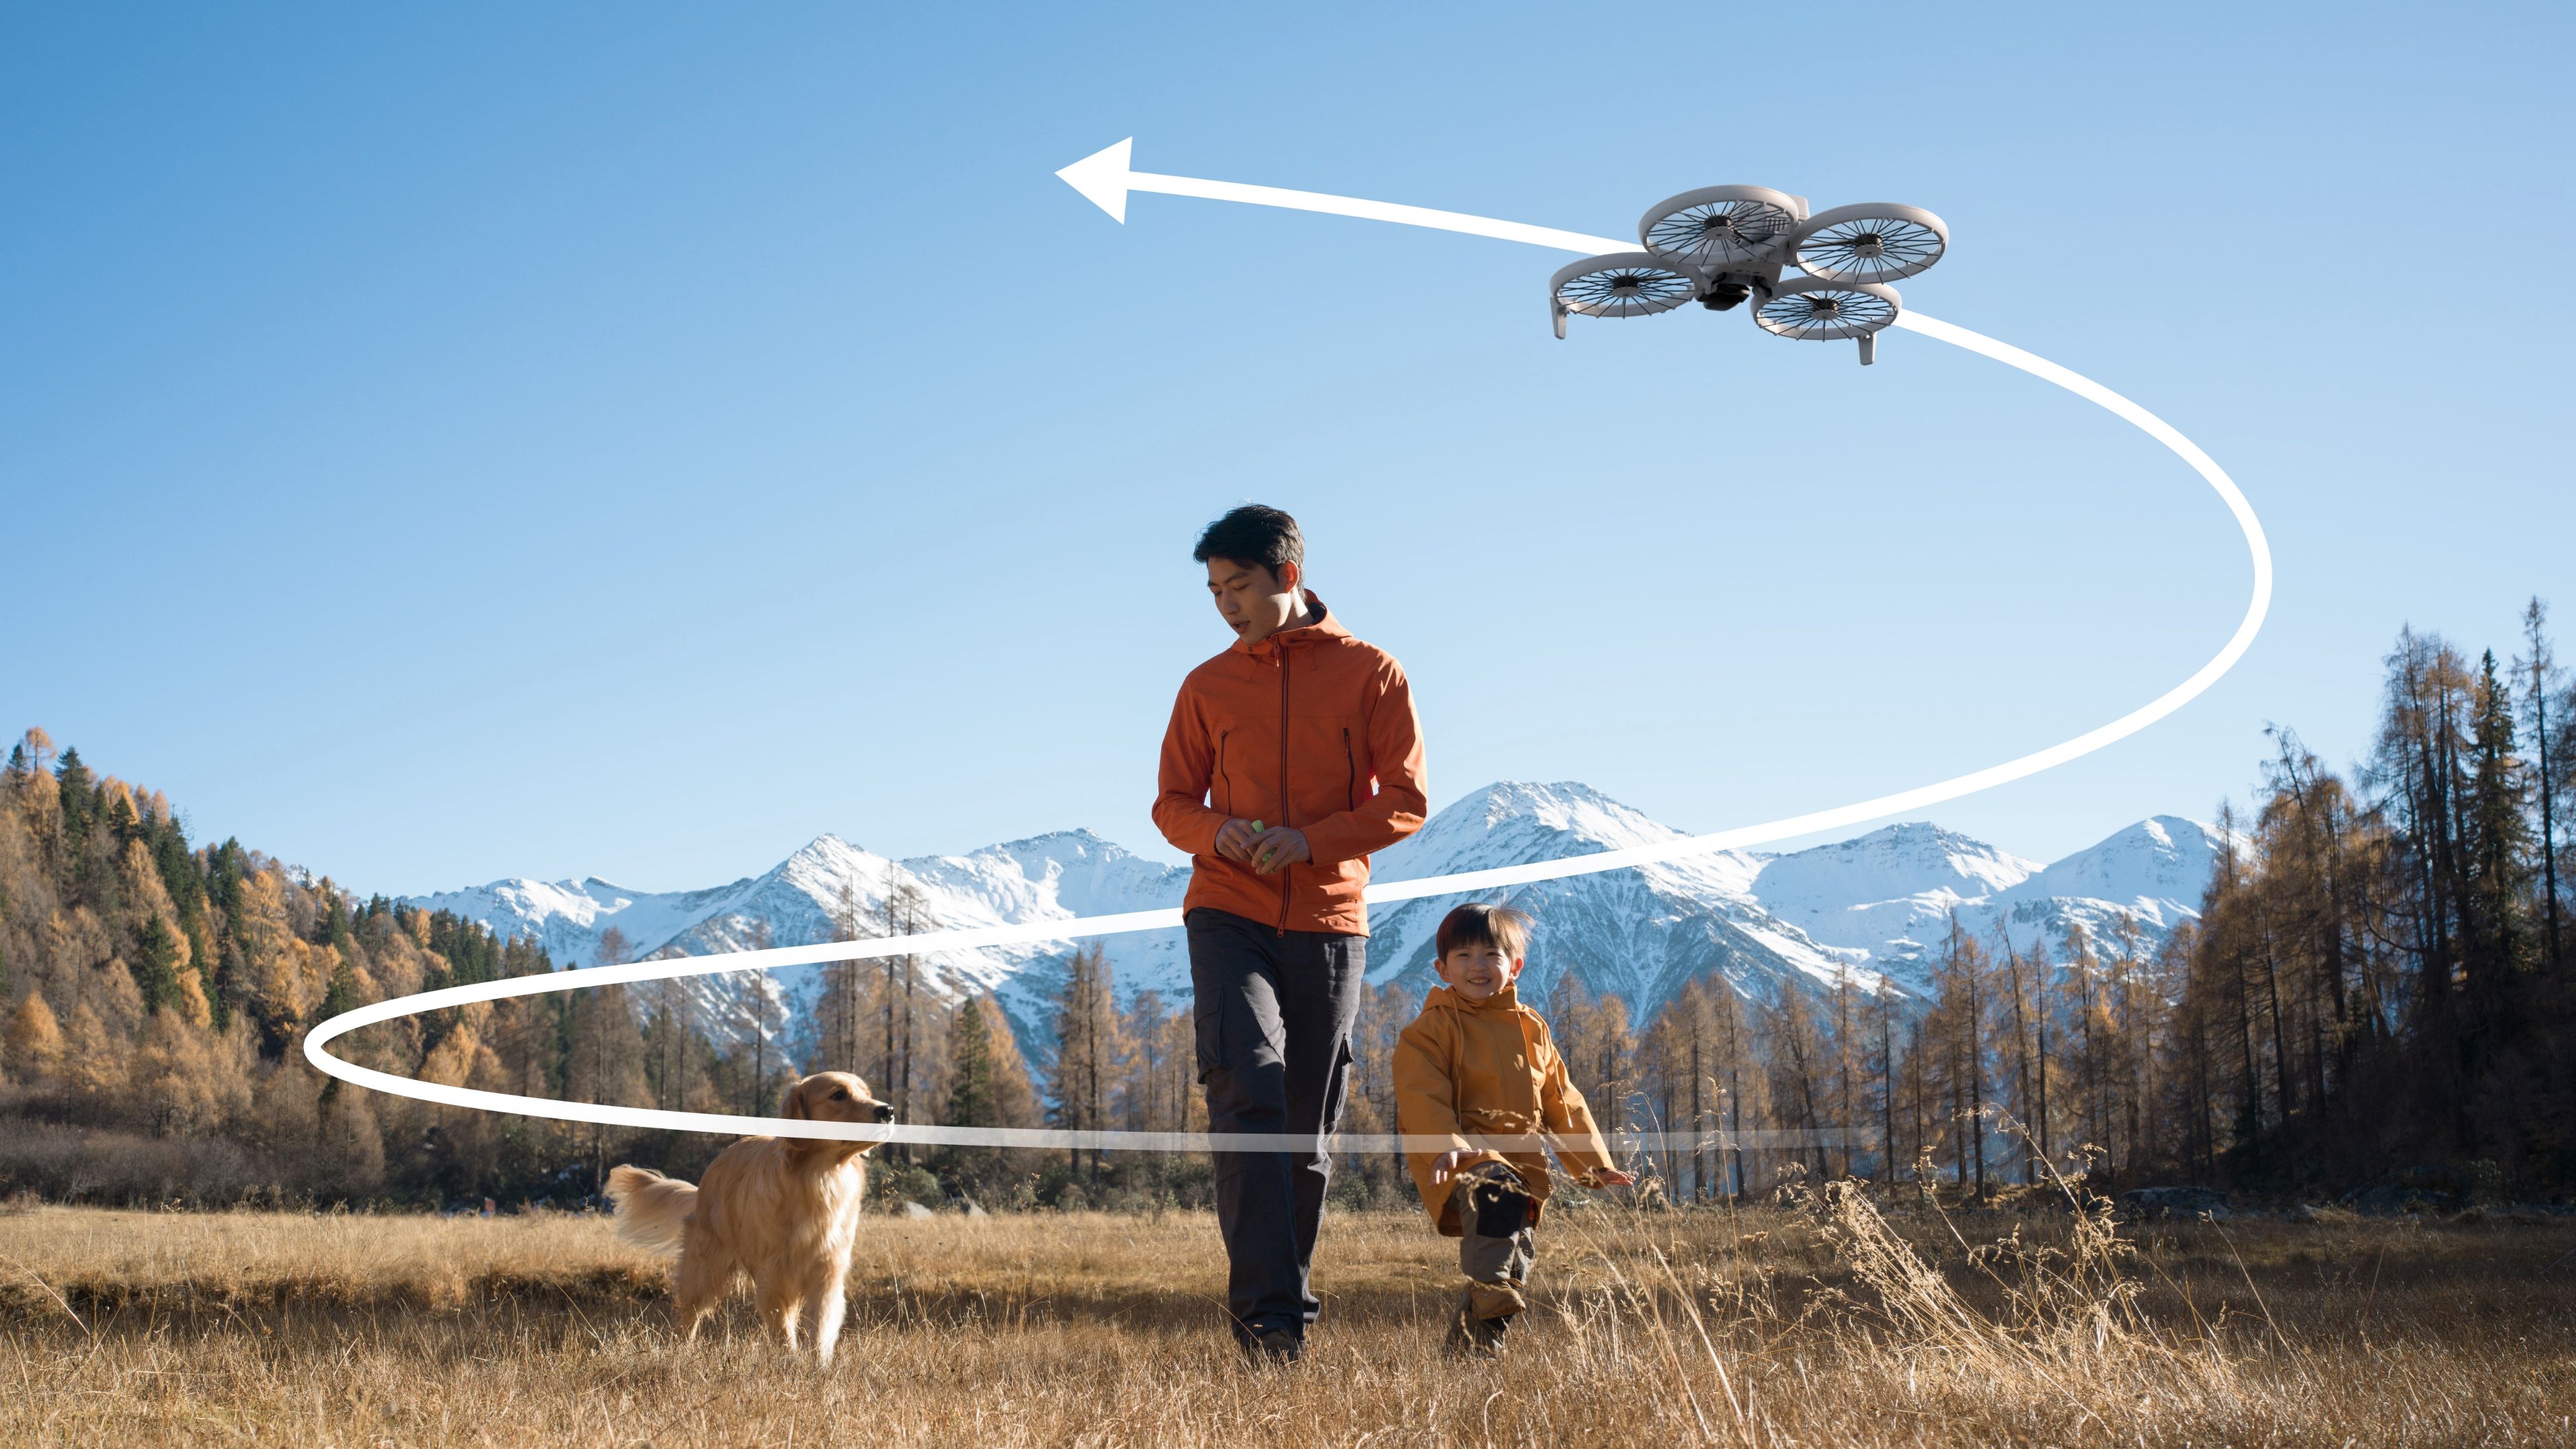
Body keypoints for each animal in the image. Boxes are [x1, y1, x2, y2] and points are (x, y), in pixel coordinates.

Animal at [605, 1067, 896, 1361]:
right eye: (838, 1095)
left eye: (866, 1093)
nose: (888, 1110)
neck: (817, 1179)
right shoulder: (773, 1276)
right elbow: (782, 1329)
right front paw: (789, 1359)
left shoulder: (827, 1271)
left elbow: (820, 1326)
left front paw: (818, 1363)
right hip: (705, 1266)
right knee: (689, 1311)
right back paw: (681, 1348)